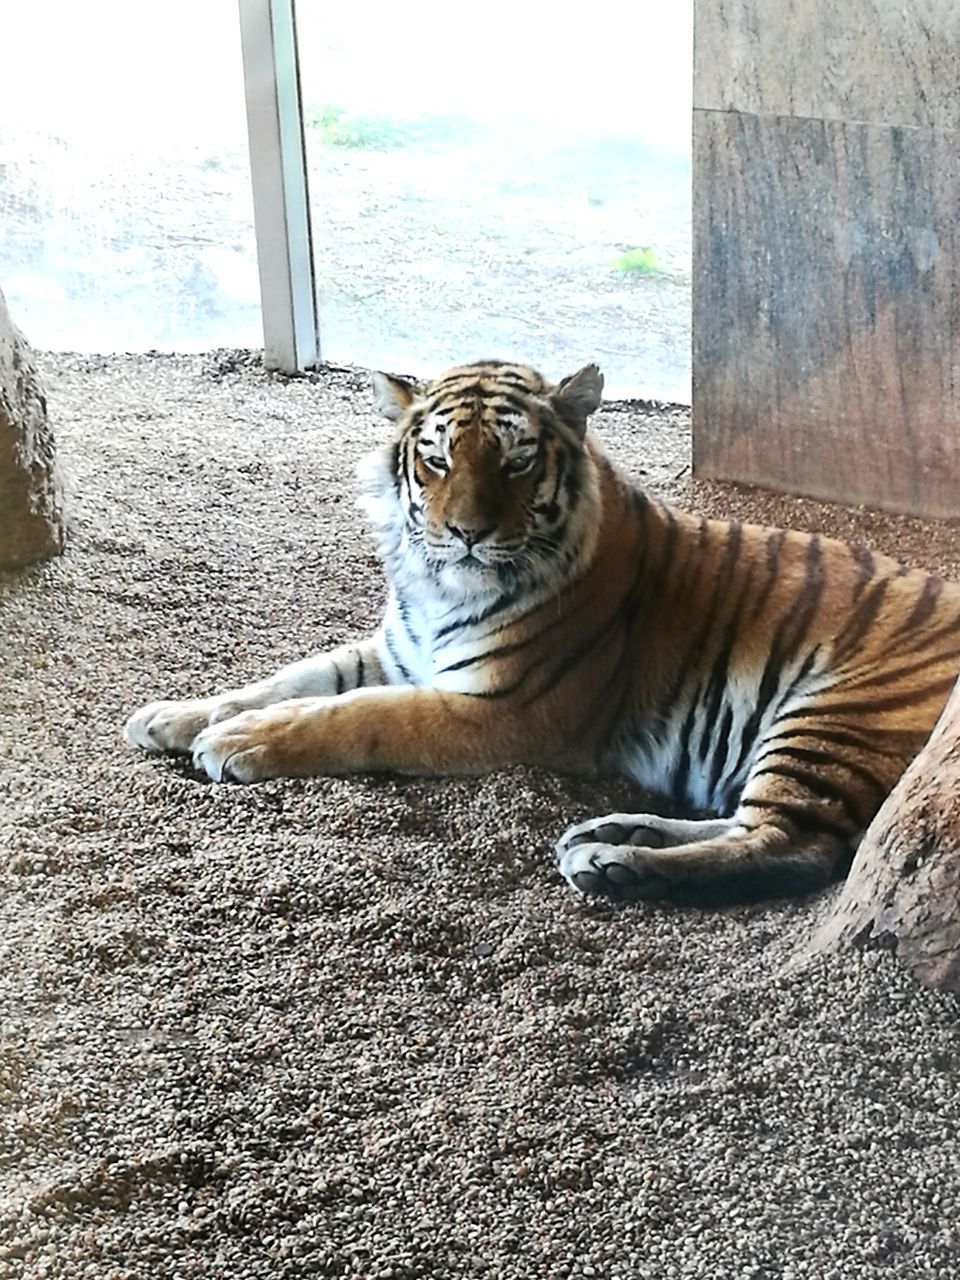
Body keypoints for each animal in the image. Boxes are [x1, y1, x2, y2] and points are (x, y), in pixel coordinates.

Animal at [124, 355, 960, 906]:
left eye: (518, 461)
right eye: (436, 460)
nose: (465, 533)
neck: (437, 590)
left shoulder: (503, 708)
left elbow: (354, 715)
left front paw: (240, 742)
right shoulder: (398, 654)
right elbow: (291, 679)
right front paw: (172, 717)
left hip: (834, 713)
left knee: (795, 846)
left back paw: (620, 866)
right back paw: (614, 836)